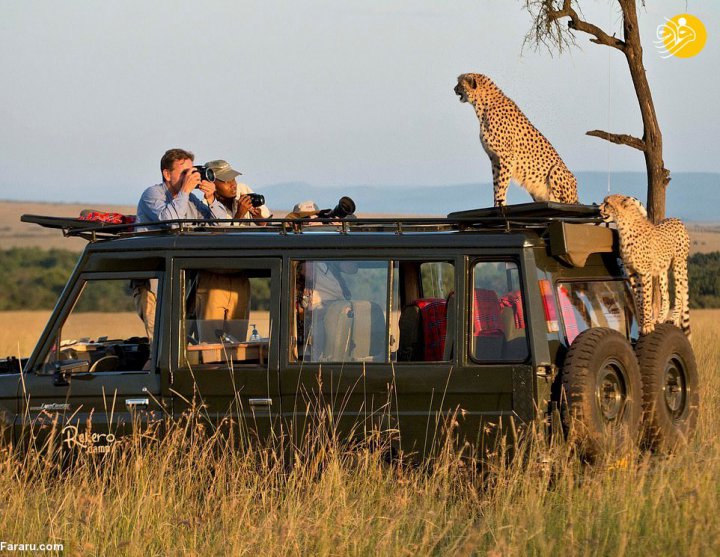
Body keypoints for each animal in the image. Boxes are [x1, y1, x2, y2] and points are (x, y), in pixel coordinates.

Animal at [456, 71, 580, 206]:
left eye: (460, 83)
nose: (454, 89)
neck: (482, 105)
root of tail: (576, 198)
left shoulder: (507, 157)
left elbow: (502, 184)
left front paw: (500, 203)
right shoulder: (495, 159)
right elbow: (496, 184)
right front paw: (496, 203)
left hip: (556, 170)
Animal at [600, 193, 688, 336]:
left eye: (607, 203)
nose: (599, 208)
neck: (624, 227)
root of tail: (677, 220)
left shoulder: (645, 272)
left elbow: (646, 299)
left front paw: (647, 325)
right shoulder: (632, 272)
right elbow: (639, 299)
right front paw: (642, 324)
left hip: (678, 265)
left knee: (679, 292)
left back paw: (674, 318)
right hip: (662, 270)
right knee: (666, 295)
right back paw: (660, 318)